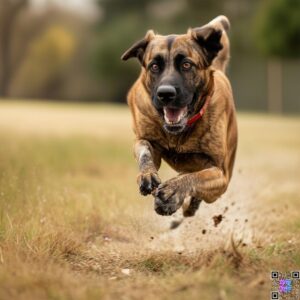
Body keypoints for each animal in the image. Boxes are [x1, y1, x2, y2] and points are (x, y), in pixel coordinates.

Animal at [121, 15, 237, 217]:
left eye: (186, 65)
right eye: (154, 66)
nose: (165, 94)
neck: (178, 135)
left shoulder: (221, 174)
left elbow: (197, 177)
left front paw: (173, 191)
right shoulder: (144, 139)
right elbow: (144, 150)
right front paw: (147, 174)